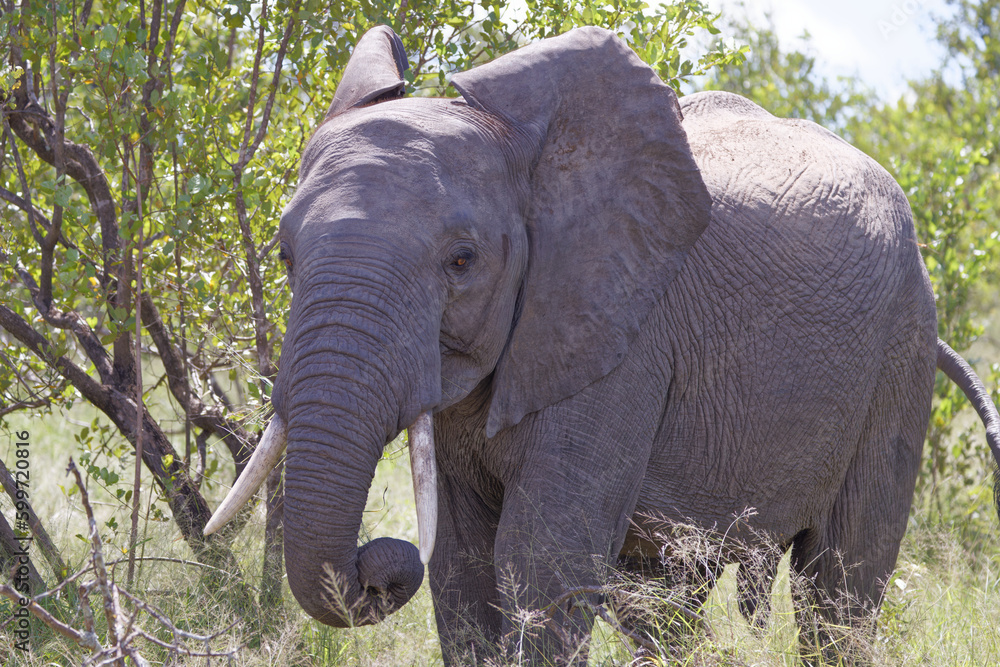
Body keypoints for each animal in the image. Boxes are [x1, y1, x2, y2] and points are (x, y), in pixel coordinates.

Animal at [204, 25, 1000, 665]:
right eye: (285, 257)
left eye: (461, 261)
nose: (381, 561)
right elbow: (462, 564)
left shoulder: (624, 337)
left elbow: (540, 556)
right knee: (669, 602)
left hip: (900, 345)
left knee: (838, 585)